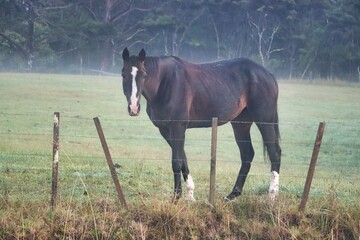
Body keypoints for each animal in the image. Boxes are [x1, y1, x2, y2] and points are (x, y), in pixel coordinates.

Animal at [121, 47, 282, 202]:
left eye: (143, 74)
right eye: (123, 75)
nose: (134, 108)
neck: (164, 83)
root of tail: (267, 74)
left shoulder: (177, 127)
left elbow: (176, 162)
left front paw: (176, 198)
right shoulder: (166, 130)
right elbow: (183, 159)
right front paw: (190, 196)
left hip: (264, 121)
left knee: (274, 152)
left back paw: (272, 197)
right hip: (240, 124)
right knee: (247, 154)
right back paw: (232, 195)